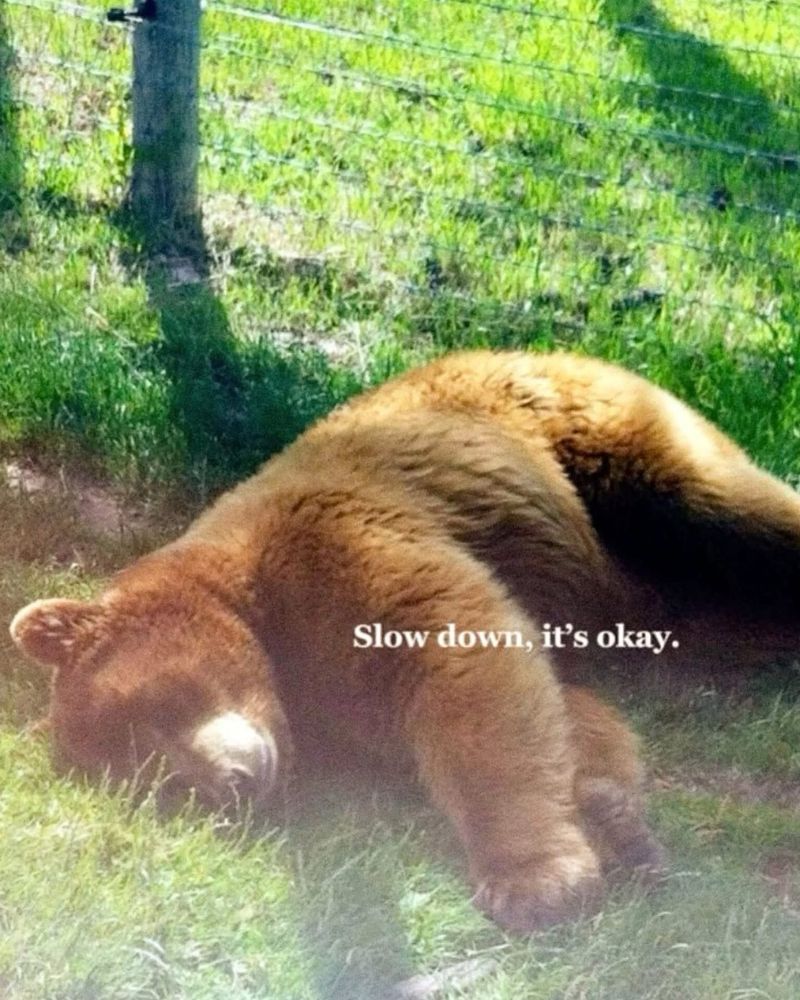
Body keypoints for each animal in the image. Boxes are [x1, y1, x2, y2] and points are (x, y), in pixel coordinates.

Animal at [11, 349, 800, 932]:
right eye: (160, 784)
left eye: (163, 705)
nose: (232, 783)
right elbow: (564, 710)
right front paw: (613, 818)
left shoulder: (337, 542)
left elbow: (464, 666)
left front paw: (535, 881)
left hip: (594, 439)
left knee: (726, 505)